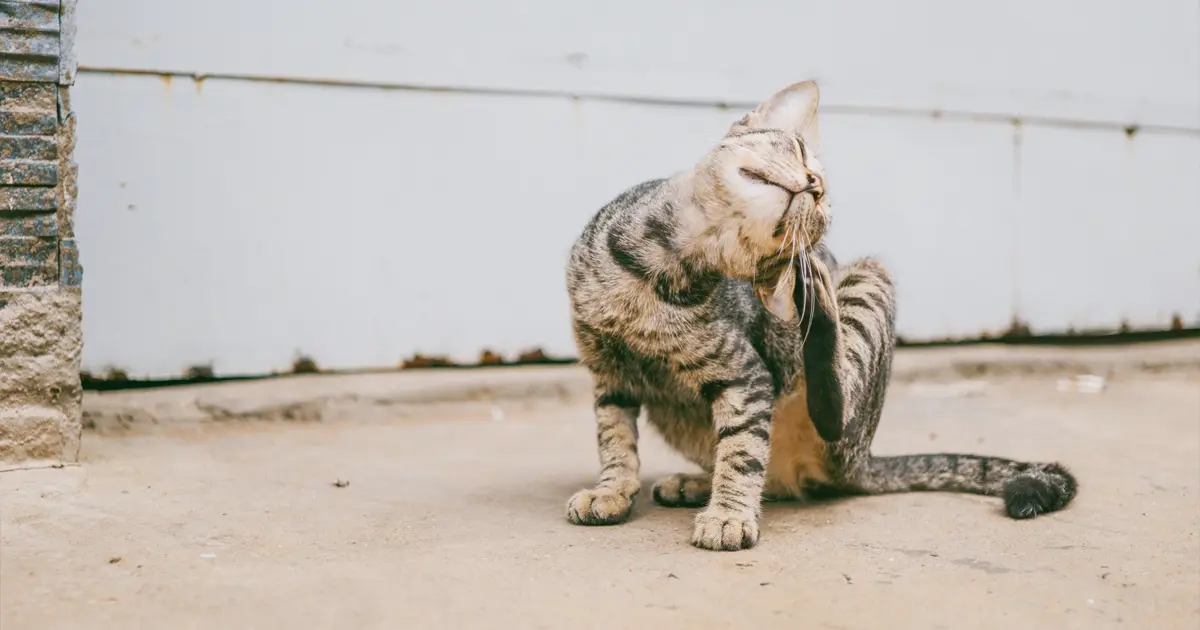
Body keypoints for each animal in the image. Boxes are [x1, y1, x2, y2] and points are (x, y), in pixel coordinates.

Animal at [561, 79, 1080, 549]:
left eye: (823, 206)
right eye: (797, 150)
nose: (815, 185)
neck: (655, 266)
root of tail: (863, 458)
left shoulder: (746, 376)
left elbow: (742, 450)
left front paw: (728, 514)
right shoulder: (609, 375)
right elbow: (616, 441)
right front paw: (611, 491)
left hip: (865, 293)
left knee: (830, 409)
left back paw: (814, 292)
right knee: (764, 473)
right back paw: (695, 483)